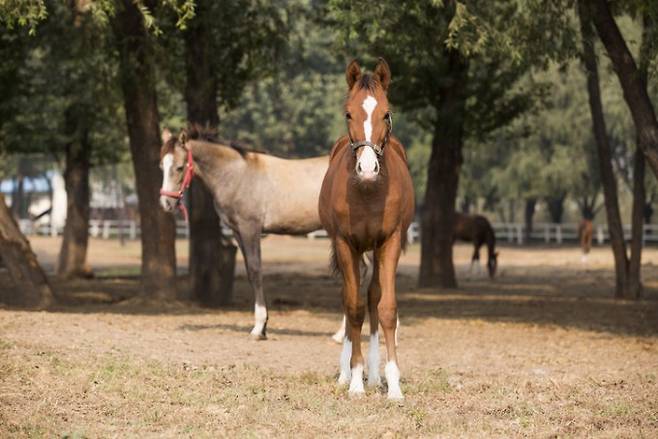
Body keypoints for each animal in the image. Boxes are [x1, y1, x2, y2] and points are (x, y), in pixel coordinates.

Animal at [160, 127, 328, 340]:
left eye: (180, 167)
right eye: (161, 166)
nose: (166, 203)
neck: (237, 175)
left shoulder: (250, 229)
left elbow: (256, 271)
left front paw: (258, 328)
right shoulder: (237, 231)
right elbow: (249, 271)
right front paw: (263, 327)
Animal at [316, 60, 412, 400]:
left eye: (386, 112)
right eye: (348, 113)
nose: (368, 169)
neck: (369, 190)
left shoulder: (390, 242)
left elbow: (386, 309)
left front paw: (393, 384)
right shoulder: (347, 244)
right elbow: (354, 308)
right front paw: (355, 380)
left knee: (372, 298)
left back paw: (375, 375)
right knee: (351, 300)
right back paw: (349, 374)